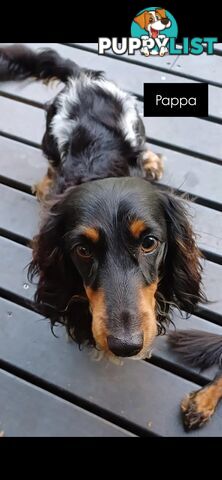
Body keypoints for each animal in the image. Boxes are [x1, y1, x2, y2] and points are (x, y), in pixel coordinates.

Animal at [0, 45, 215, 432]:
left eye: (149, 242)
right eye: (82, 249)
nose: (125, 346)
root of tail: (82, 78)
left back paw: (150, 159)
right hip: (49, 137)